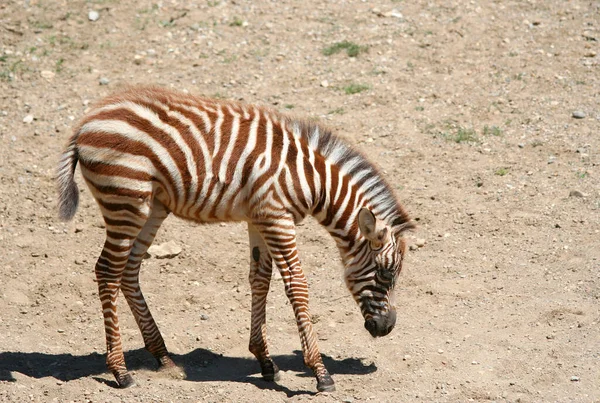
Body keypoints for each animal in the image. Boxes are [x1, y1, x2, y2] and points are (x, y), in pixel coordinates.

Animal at [56, 87, 414, 392]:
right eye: (386, 273)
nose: (388, 327)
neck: (310, 179)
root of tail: (86, 122)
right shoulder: (276, 217)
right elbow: (296, 286)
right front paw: (320, 372)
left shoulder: (260, 218)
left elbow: (260, 280)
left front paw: (265, 361)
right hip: (126, 200)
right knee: (107, 271)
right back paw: (120, 370)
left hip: (151, 206)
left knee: (128, 271)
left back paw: (163, 357)